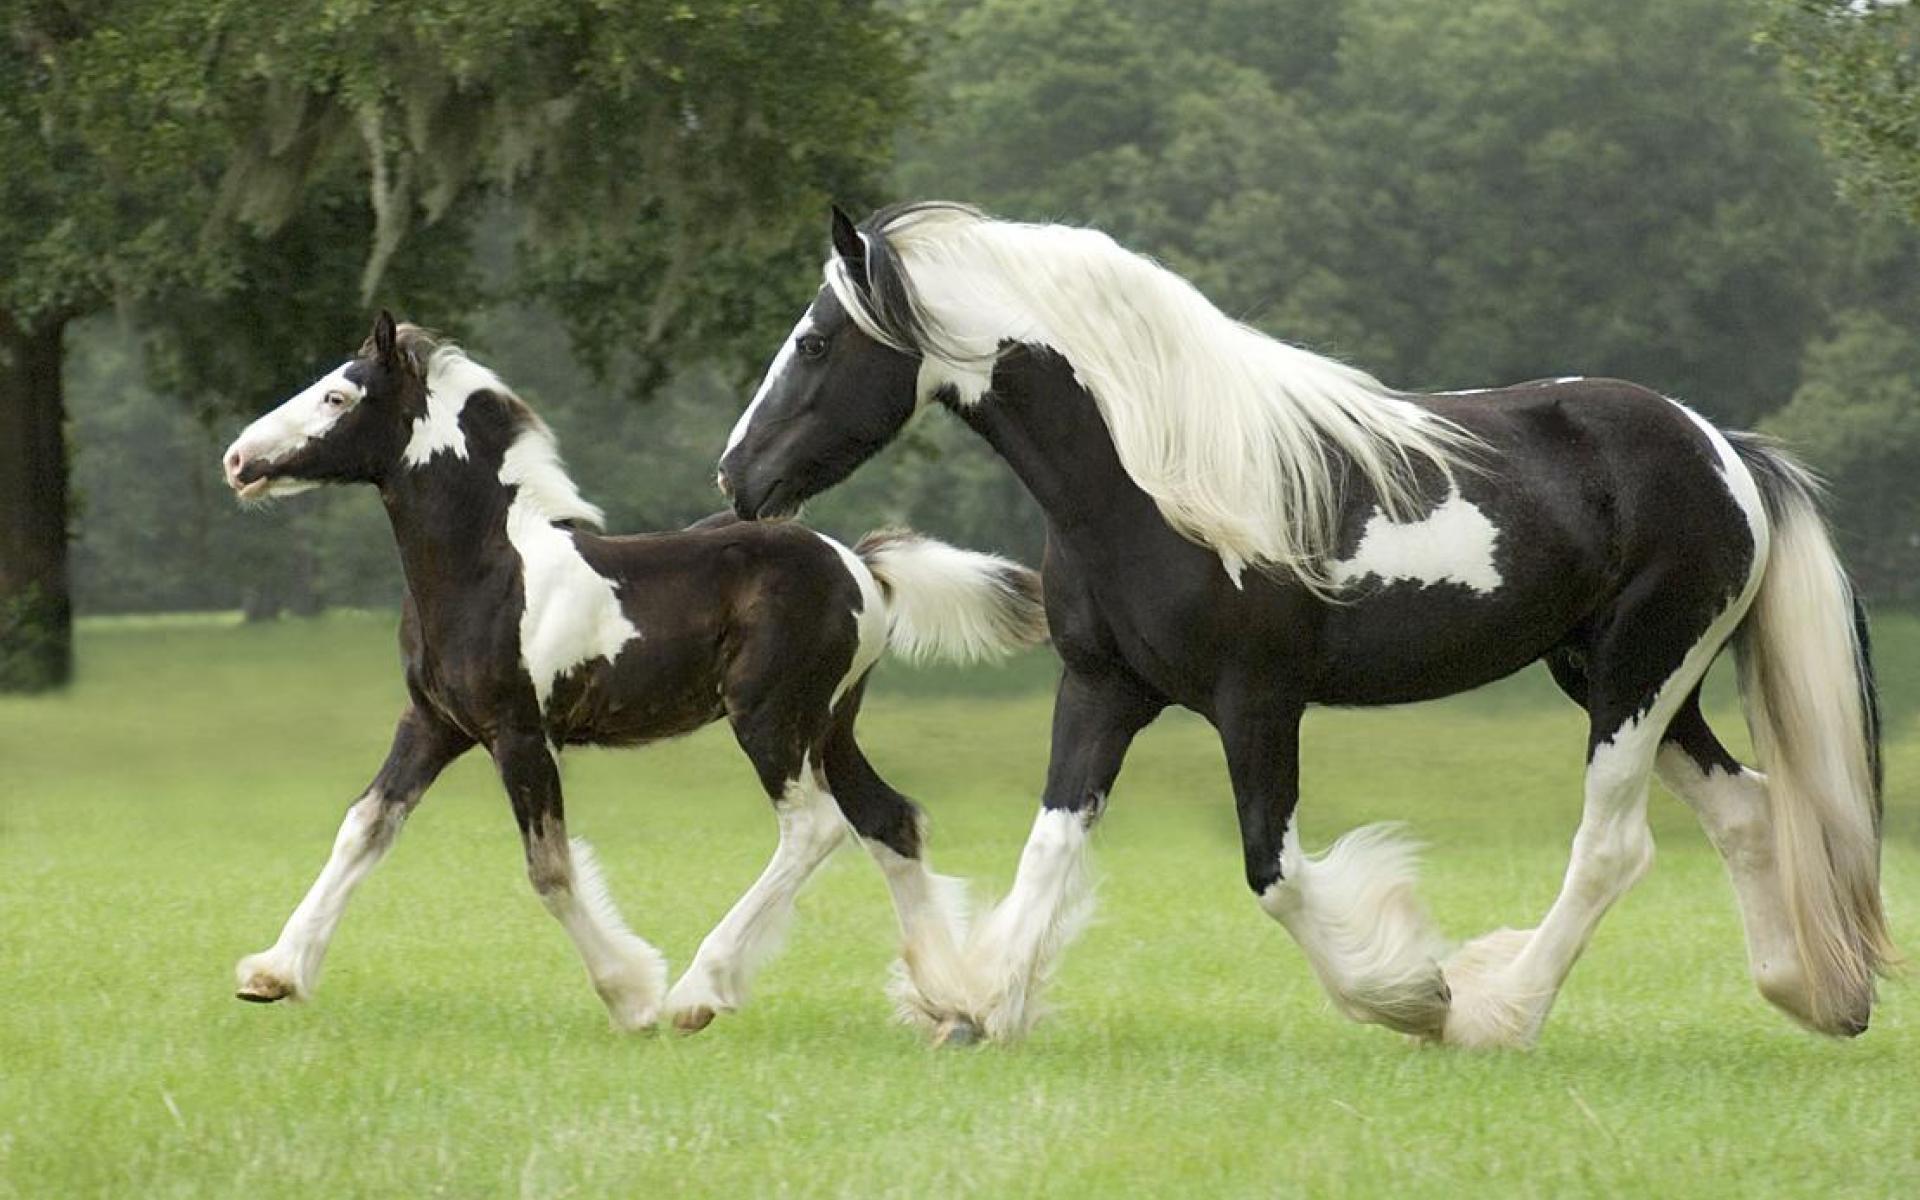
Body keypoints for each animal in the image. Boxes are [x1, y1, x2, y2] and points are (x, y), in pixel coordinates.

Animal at [220, 312, 1045, 1034]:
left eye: (338, 396)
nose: (237, 461)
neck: (491, 568)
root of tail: (862, 565)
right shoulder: (433, 723)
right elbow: (364, 826)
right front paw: (273, 972)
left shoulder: (519, 734)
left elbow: (549, 869)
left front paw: (632, 996)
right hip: (831, 727)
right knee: (889, 818)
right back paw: (951, 1001)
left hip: (772, 719)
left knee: (814, 827)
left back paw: (698, 993)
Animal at [716, 201, 1893, 1048]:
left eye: (814, 342)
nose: (736, 478)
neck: (1153, 480)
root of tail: (1725, 449)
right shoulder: (1101, 689)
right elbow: (1050, 846)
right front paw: (974, 1001)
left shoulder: (1258, 704)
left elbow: (1273, 872)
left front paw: (1414, 995)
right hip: (1625, 677)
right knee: (1747, 808)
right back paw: (1814, 995)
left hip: (1638, 678)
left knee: (1613, 847)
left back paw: (1499, 1012)